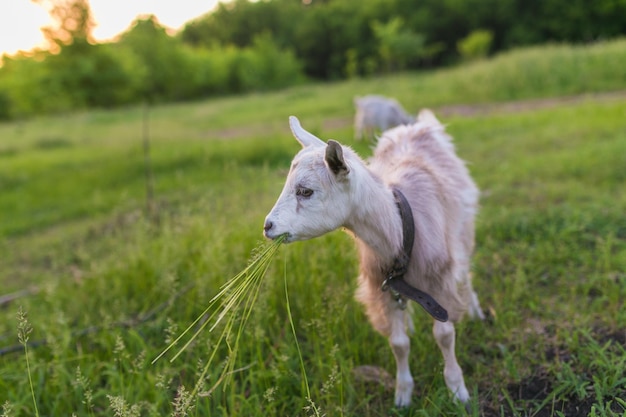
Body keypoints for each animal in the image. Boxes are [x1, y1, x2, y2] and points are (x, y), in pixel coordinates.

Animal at [262, 110, 482, 406]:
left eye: (305, 191)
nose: (268, 226)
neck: (399, 228)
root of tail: (416, 125)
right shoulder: (382, 284)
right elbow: (399, 344)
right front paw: (403, 395)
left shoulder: (439, 279)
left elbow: (445, 335)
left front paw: (458, 391)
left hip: (463, 229)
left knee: (466, 269)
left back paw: (475, 310)